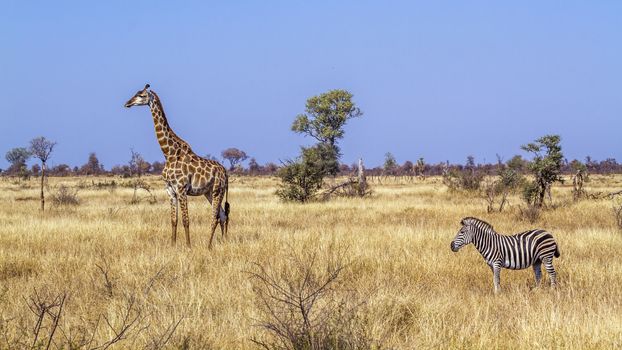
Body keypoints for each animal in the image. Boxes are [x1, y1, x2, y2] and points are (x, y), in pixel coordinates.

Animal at [123, 83, 229, 249]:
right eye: (136, 93)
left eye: (141, 95)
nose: (127, 103)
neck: (168, 153)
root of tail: (225, 171)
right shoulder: (170, 190)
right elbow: (174, 220)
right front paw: (172, 246)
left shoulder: (181, 189)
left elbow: (186, 220)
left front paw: (188, 246)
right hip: (209, 192)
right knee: (223, 215)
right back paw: (223, 243)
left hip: (218, 190)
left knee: (215, 217)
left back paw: (208, 246)